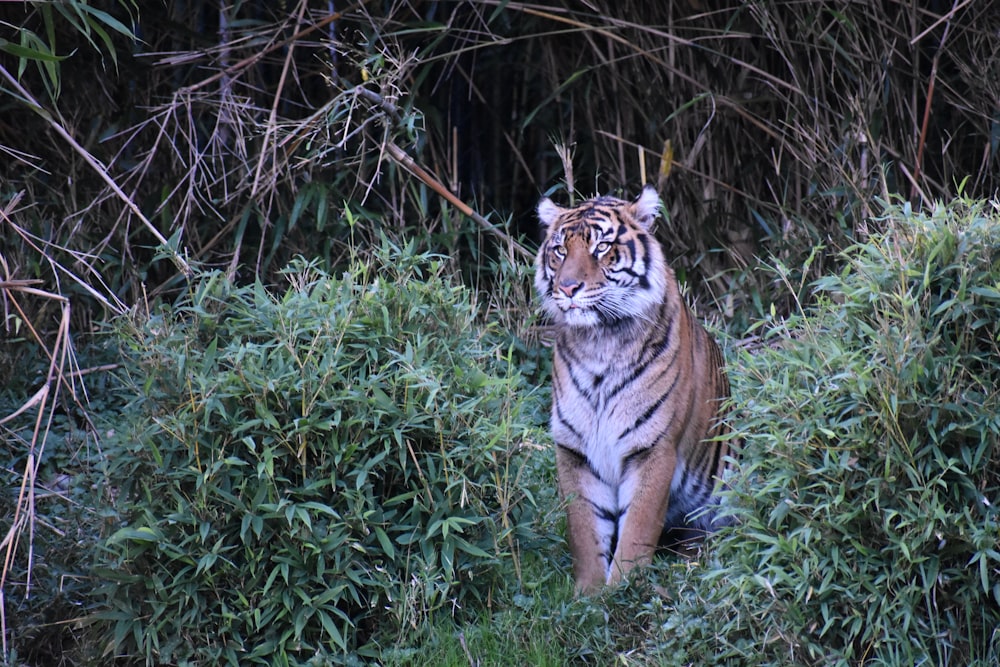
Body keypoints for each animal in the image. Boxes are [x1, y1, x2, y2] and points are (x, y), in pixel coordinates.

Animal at [532, 185, 736, 592]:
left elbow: (638, 526)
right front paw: (590, 593)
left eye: (601, 247)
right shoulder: (574, 449)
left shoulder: (653, 447)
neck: (599, 342)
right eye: (560, 249)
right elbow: (584, 527)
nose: (567, 288)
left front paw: (624, 587)